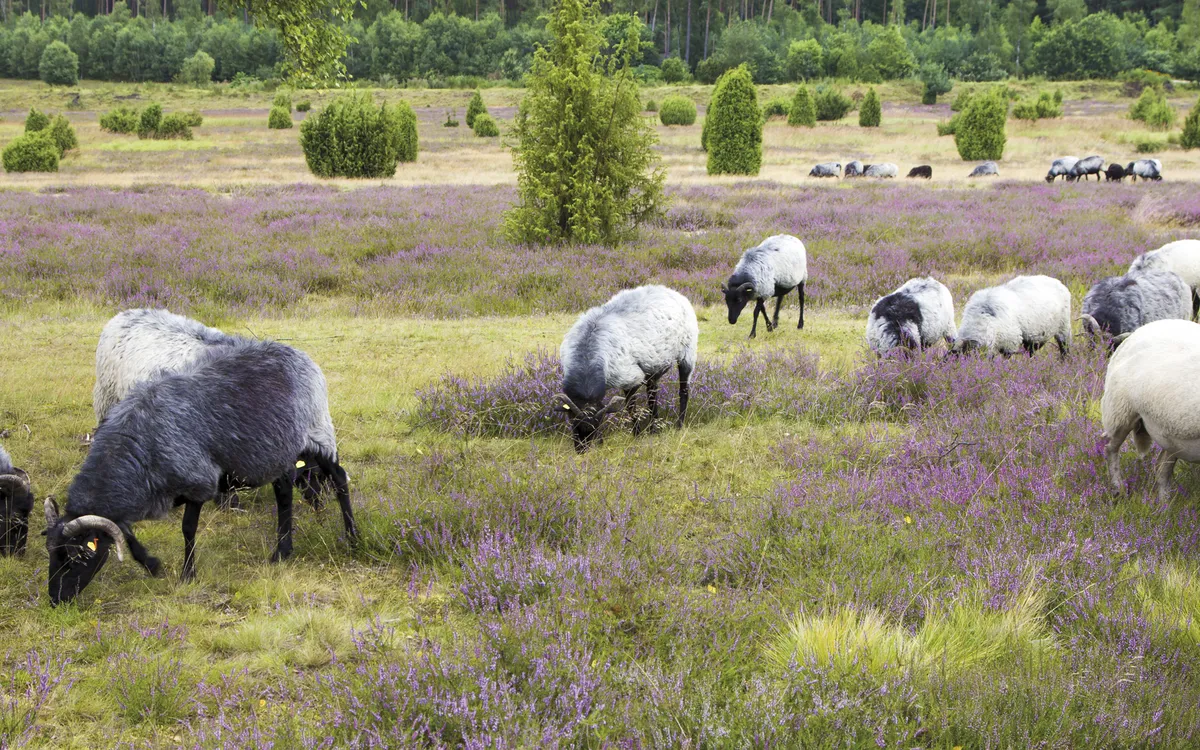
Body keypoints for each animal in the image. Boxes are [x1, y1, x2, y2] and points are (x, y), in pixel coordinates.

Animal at [43, 339, 358, 605]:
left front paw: (187, 574)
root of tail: (298, 353)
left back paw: (353, 539)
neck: (138, 448)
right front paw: (152, 564)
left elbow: (187, 529)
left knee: (339, 479)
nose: (56, 600)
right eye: (51, 552)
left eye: (78, 556)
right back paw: (281, 552)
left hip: (318, 435)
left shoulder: (198, 482)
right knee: (283, 493)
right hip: (278, 450)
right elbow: (126, 532)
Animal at [554, 285, 698, 453]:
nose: (581, 451)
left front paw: (637, 434)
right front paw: (603, 442)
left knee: (683, 391)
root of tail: (670, 291)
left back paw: (679, 425)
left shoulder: (631, 377)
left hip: (687, 353)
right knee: (652, 394)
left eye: (596, 425)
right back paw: (654, 428)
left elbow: (630, 407)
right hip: (653, 364)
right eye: (572, 421)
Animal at [1101, 319, 1200, 502]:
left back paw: (1165, 504)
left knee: (1161, 468)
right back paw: (1118, 490)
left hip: (1172, 434)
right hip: (1120, 411)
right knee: (1110, 447)